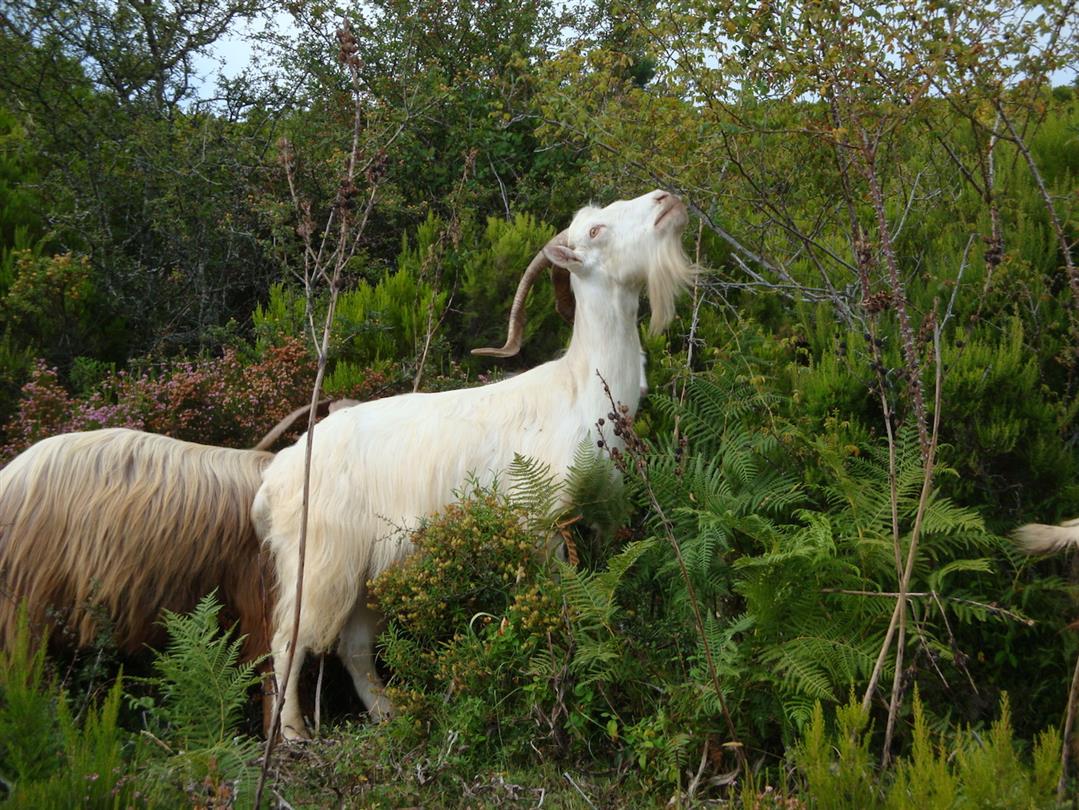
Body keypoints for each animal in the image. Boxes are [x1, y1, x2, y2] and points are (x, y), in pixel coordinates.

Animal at [253, 190, 694, 739]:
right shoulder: (537, 523)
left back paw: (392, 716)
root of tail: (276, 475)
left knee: (352, 647)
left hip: (372, 569)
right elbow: (557, 600)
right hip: (318, 560)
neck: (577, 392)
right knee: (289, 641)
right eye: (595, 231)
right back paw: (293, 733)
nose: (666, 199)